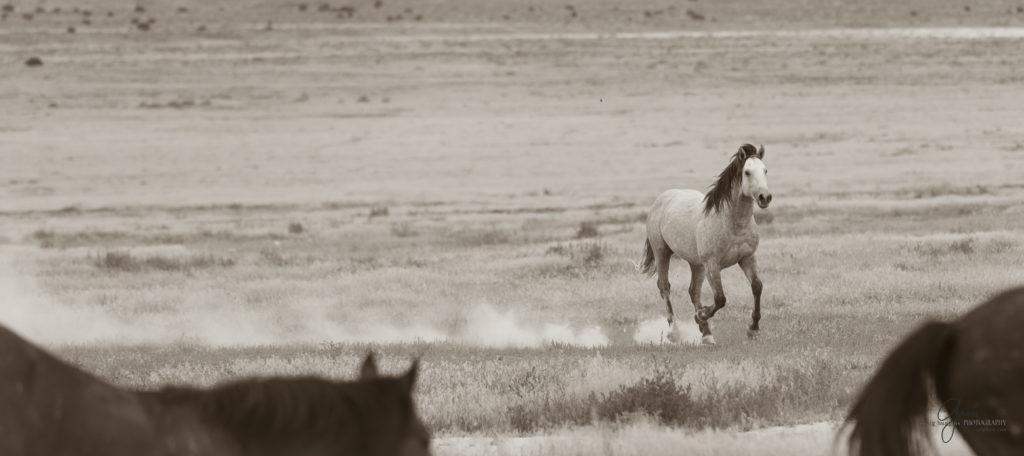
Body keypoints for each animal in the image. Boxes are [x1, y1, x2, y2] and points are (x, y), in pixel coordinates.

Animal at [634, 143, 770, 342]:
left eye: (765, 170)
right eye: (747, 172)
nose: (765, 197)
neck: (731, 223)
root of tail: (661, 199)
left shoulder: (747, 258)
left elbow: (757, 287)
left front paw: (753, 329)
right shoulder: (713, 265)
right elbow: (720, 298)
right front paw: (700, 315)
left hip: (696, 264)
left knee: (693, 291)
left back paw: (706, 334)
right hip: (662, 253)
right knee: (664, 287)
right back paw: (675, 332)